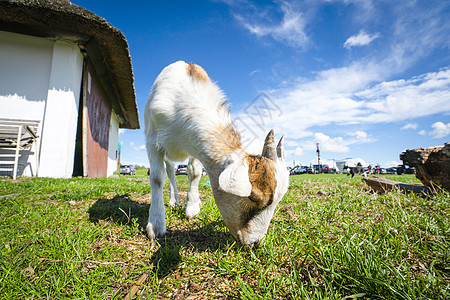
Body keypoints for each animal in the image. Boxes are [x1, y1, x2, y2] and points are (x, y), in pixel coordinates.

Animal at [146, 61, 290, 246]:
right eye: (253, 198)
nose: (255, 242)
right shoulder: (152, 141)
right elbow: (157, 178)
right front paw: (156, 225)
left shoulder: (196, 148)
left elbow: (194, 173)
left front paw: (192, 207)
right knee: (170, 171)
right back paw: (173, 201)